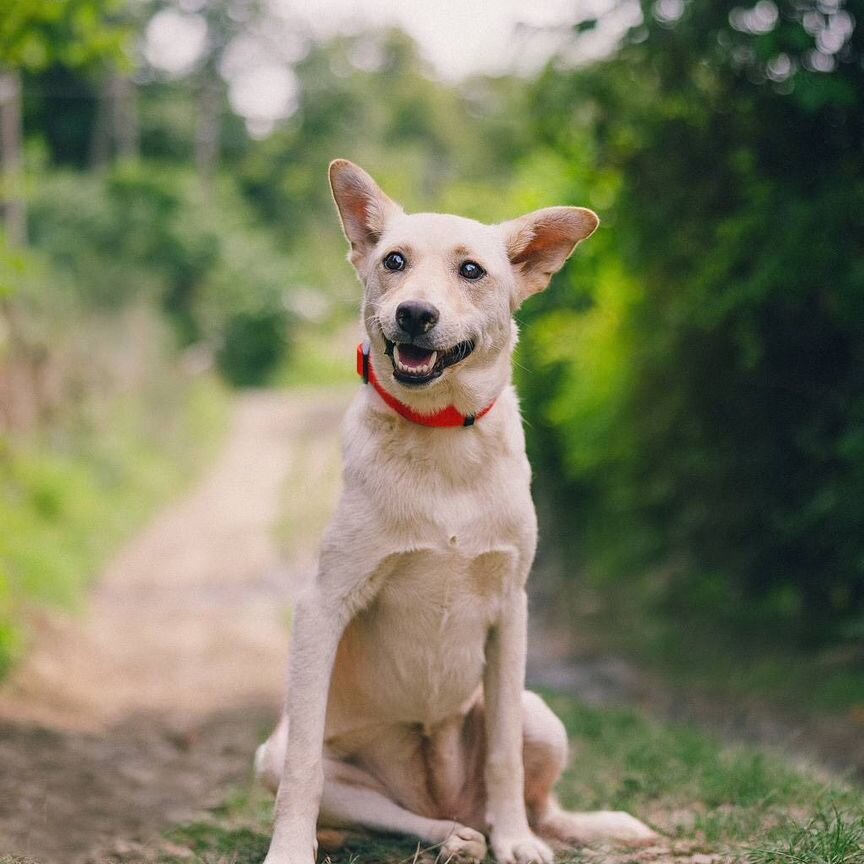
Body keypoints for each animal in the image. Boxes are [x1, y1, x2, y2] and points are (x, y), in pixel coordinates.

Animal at [255, 162, 656, 864]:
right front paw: (289, 852)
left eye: (472, 270)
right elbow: (304, 768)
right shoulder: (323, 604)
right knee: (394, 814)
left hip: (540, 715)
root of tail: (442, 796)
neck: (442, 435)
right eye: (394, 260)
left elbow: (503, 758)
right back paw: (455, 837)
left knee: (541, 803)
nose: (415, 313)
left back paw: (562, 827)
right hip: (282, 760)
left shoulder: (511, 610)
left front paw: (516, 843)